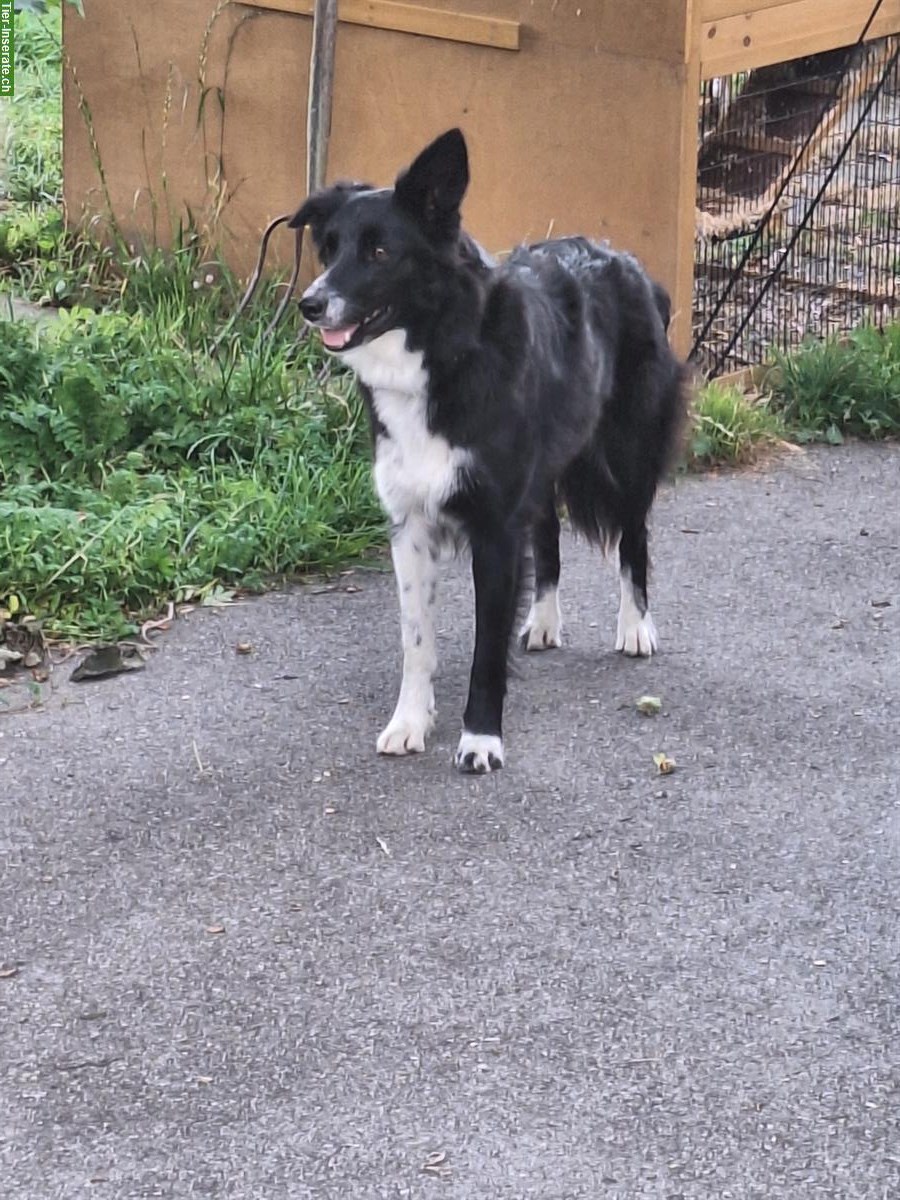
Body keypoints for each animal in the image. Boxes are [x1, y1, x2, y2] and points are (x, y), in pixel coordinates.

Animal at [292, 129, 686, 768]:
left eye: (380, 252)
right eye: (329, 249)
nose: (310, 303)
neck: (442, 352)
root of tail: (630, 266)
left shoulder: (495, 527)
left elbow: (485, 649)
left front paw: (480, 738)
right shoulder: (410, 524)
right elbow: (416, 641)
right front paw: (410, 722)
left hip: (628, 454)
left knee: (634, 537)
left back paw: (635, 628)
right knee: (548, 533)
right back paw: (544, 619)